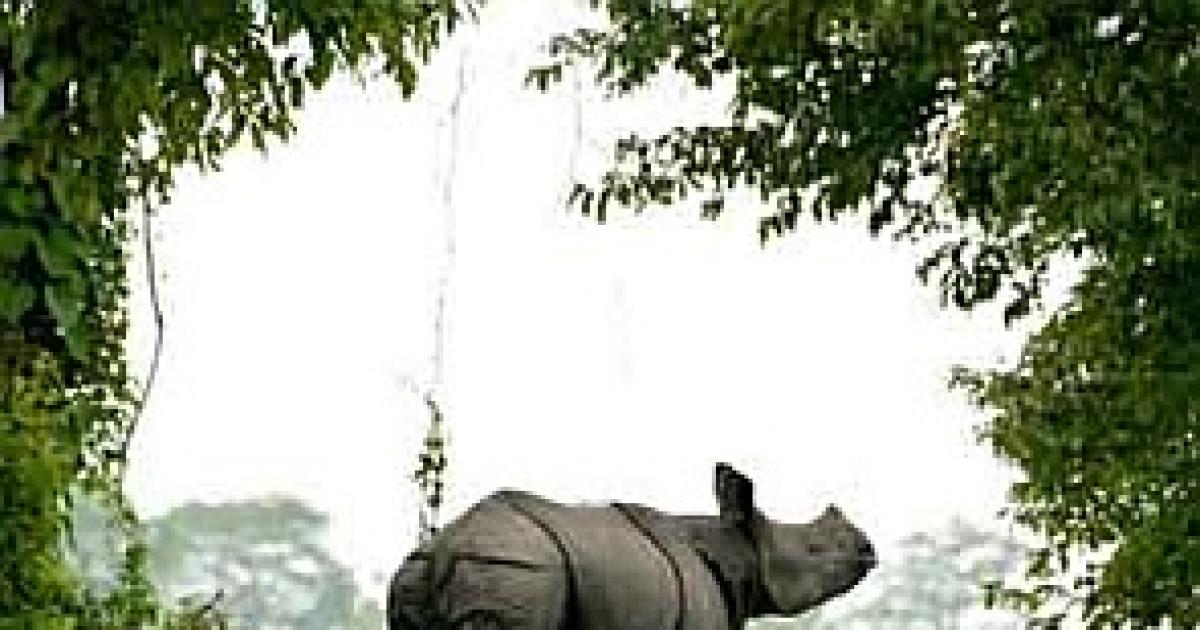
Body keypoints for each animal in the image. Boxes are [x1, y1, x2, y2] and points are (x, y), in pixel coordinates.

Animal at [387, 463, 876, 629]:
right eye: (813, 549)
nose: (867, 548)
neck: (739, 549)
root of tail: (444, 549)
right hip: (516, 569)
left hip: (422, 572)